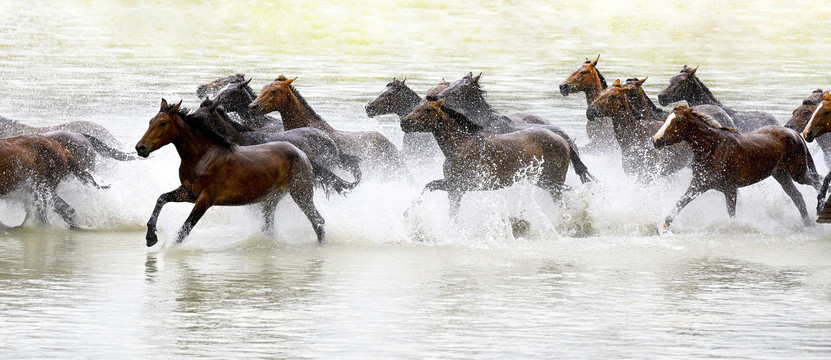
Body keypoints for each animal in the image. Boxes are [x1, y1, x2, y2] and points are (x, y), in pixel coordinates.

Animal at [136, 98, 332, 246]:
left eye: (162, 123)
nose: (140, 147)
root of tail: (302, 154)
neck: (202, 158)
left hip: (301, 194)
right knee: (270, 226)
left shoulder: (205, 199)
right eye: (150, 121)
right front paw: (150, 237)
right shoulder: (188, 192)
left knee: (318, 221)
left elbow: (185, 229)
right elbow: (161, 199)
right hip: (272, 199)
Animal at [402, 97, 572, 217]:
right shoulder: (455, 188)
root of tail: (562, 140)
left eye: (428, 109)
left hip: (553, 183)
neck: (461, 144)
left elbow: (429, 186)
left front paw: (407, 212)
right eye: (416, 107)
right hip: (543, 182)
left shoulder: (461, 185)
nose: (404, 122)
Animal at [652, 105, 824, 228]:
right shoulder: (699, 184)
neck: (713, 147)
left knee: (817, 181)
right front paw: (664, 227)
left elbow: (731, 214)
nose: (656, 140)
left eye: (678, 121)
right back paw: (808, 224)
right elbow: (678, 206)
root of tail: (796, 134)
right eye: (666, 118)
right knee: (798, 198)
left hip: (798, 173)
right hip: (781, 175)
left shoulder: (730, 189)